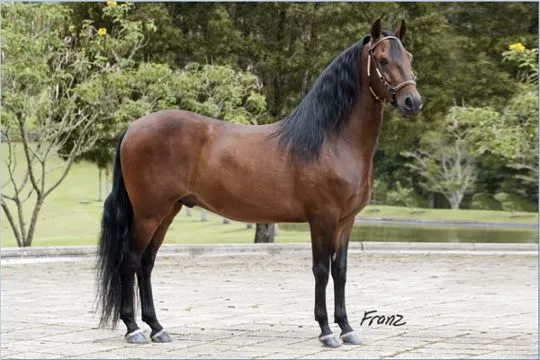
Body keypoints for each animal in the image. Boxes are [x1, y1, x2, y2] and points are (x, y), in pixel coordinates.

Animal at [96, 19, 422, 348]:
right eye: (382, 60)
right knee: (129, 261)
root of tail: (133, 127)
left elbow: (339, 271)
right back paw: (133, 328)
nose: (412, 102)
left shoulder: (346, 221)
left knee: (146, 264)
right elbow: (321, 270)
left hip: (167, 212)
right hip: (148, 214)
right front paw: (327, 331)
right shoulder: (323, 218)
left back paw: (157, 327)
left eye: (408, 57)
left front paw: (346, 328)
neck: (331, 140)